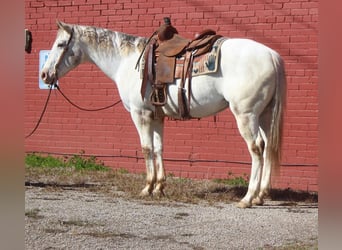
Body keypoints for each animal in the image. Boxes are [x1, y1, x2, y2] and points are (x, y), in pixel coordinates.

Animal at [40, 21, 286, 208]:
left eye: (61, 44)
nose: (44, 74)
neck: (127, 62)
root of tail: (272, 55)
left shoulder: (140, 114)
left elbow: (146, 148)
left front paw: (147, 187)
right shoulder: (157, 116)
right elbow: (158, 148)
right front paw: (159, 187)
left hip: (246, 115)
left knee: (256, 149)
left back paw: (248, 198)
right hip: (264, 115)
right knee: (267, 147)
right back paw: (261, 195)